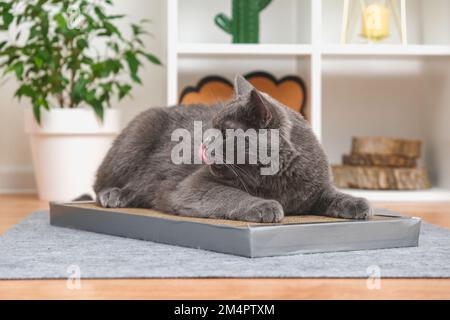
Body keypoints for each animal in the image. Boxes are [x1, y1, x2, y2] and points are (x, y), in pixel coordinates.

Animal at [93, 76, 370, 221]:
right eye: (210, 128)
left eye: (225, 132)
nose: (204, 143)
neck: (276, 180)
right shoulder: (194, 185)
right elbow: (232, 195)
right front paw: (265, 206)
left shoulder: (318, 187)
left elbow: (333, 194)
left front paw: (358, 203)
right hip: (136, 135)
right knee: (103, 185)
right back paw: (114, 195)